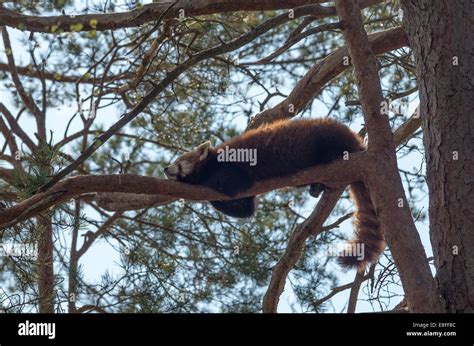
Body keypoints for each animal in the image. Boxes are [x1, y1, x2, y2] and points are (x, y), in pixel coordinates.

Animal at [165, 117, 384, 272]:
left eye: (178, 162)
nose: (166, 169)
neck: (212, 162)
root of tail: (355, 139)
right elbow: (245, 209)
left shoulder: (232, 166)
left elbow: (229, 184)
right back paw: (316, 187)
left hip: (325, 137)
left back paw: (331, 157)